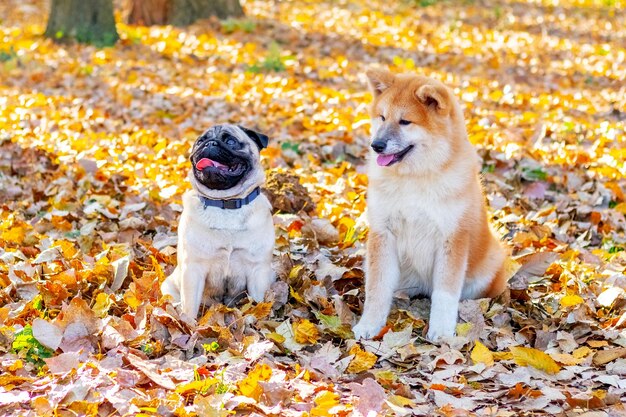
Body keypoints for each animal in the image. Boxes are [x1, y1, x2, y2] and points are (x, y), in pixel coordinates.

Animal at [161, 123, 276, 318]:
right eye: (200, 141)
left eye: (230, 141)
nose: (209, 143)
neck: (226, 203)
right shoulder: (193, 269)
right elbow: (189, 306)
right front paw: (188, 324)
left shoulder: (258, 270)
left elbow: (259, 303)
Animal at [352, 70, 508, 340]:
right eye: (382, 117)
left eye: (405, 122)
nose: (376, 145)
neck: (415, 179)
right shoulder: (383, 232)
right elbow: (377, 288)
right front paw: (369, 324)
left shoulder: (452, 237)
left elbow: (445, 294)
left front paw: (442, 331)